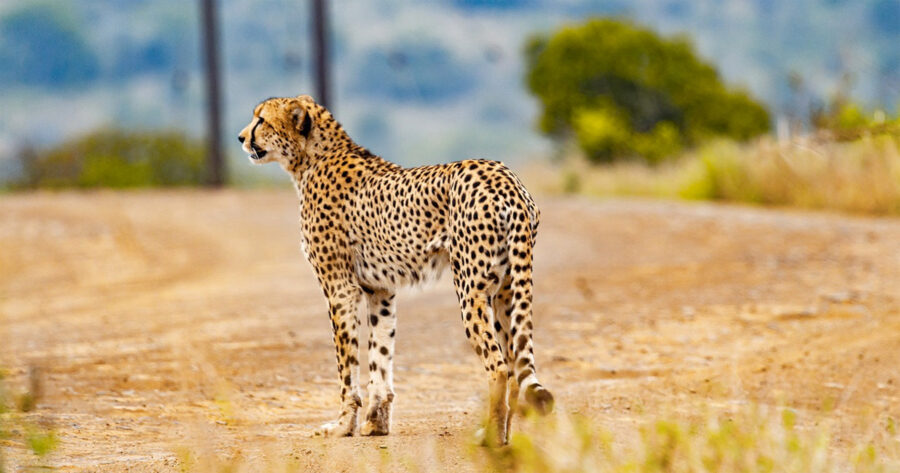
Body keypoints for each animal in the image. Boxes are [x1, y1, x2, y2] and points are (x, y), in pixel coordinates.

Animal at [238, 95, 553, 445]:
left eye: (261, 120)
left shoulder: (340, 289)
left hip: (471, 290)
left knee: (498, 367)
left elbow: (347, 365)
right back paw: (507, 436)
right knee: (513, 366)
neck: (310, 158)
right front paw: (376, 422)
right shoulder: (380, 290)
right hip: (506, 292)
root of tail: (505, 177)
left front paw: (343, 425)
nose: (241, 137)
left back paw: (492, 438)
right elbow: (380, 355)